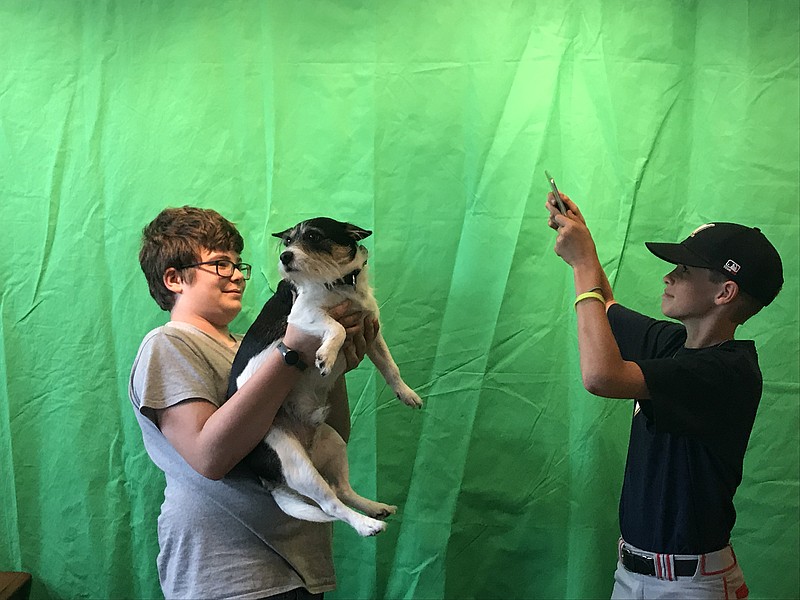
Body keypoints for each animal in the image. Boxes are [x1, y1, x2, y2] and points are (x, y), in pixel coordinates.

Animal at [228, 218, 422, 536]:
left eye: (313, 237)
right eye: (288, 241)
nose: (285, 257)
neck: (338, 282)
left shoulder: (370, 331)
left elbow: (390, 366)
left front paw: (406, 393)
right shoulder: (301, 317)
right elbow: (337, 327)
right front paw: (326, 356)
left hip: (334, 441)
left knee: (342, 489)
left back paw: (374, 508)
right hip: (295, 463)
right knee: (331, 504)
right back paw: (367, 524)